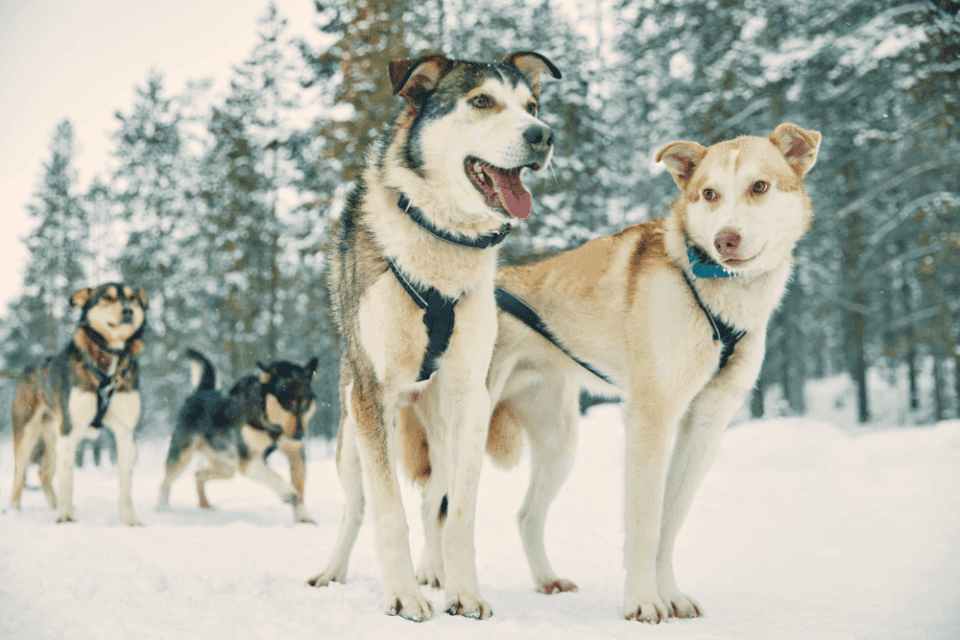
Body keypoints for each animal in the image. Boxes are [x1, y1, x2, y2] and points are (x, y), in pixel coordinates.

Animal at [8, 284, 148, 524]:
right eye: (108, 297)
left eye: (132, 298)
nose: (128, 311)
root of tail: (25, 371)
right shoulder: (70, 430)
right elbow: (67, 481)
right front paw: (65, 518)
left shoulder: (126, 432)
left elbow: (125, 485)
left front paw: (130, 521)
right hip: (31, 434)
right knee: (20, 472)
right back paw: (16, 510)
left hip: (57, 438)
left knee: (44, 474)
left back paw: (55, 506)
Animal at [158, 350, 318, 524]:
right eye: (286, 404)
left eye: (306, 403)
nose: (299, 435)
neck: (270, 425)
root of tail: (202, 390)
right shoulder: (247, 461)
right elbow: (273, 475)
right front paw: (288, 493)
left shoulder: (295, 454)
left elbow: (300, 487)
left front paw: (303, 519)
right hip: (182, 457)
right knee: (165, 483)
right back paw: (162, 508)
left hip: (226, 467)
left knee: (198, 474)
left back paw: (205, 505)